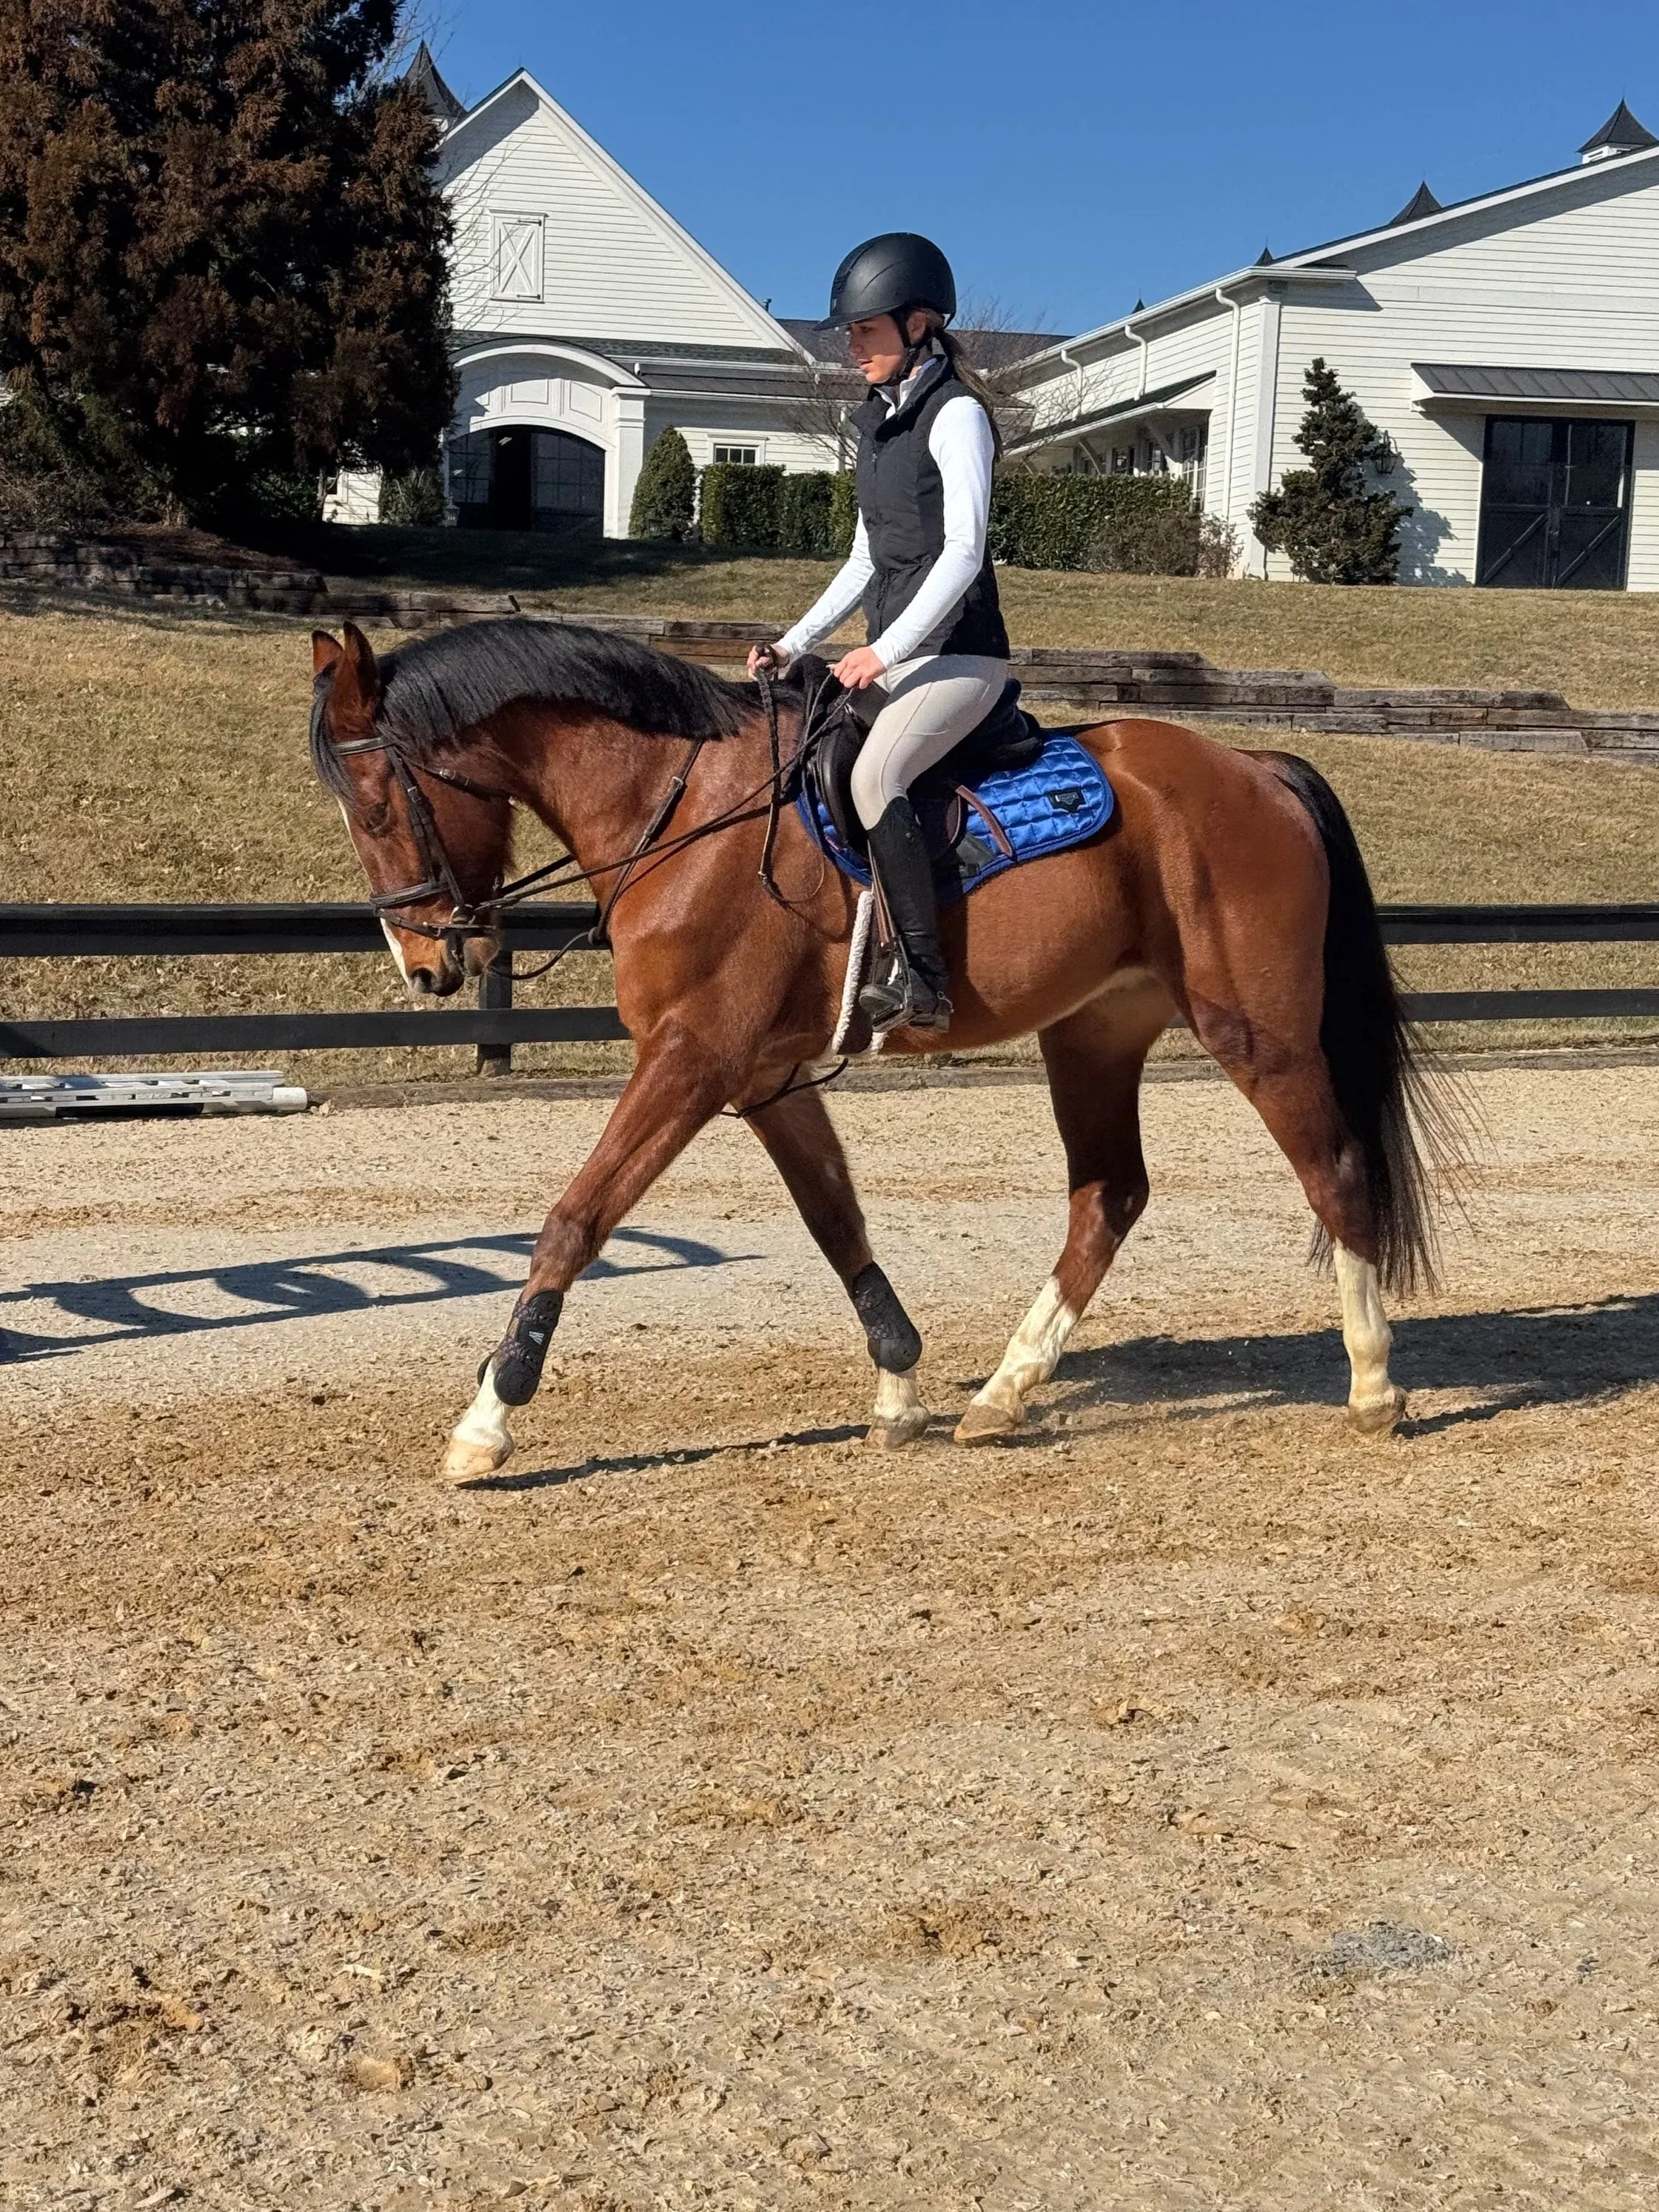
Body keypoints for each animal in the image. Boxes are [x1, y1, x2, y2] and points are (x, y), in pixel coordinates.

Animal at [309, 616, 1449, 1483]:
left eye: (376, 805)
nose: (426, 967)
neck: (678, 810)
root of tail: (1255, 766)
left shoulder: (690, 1059)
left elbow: (574, 1221)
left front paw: (486, 1421)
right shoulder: (763, 1075)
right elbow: (833, 1218)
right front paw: (899, 1384)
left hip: (1255, 1033)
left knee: (1335, 1169)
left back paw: (1373, 1383)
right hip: (1094, 1031)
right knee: (1109, 1196)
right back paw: (1004, 1391)